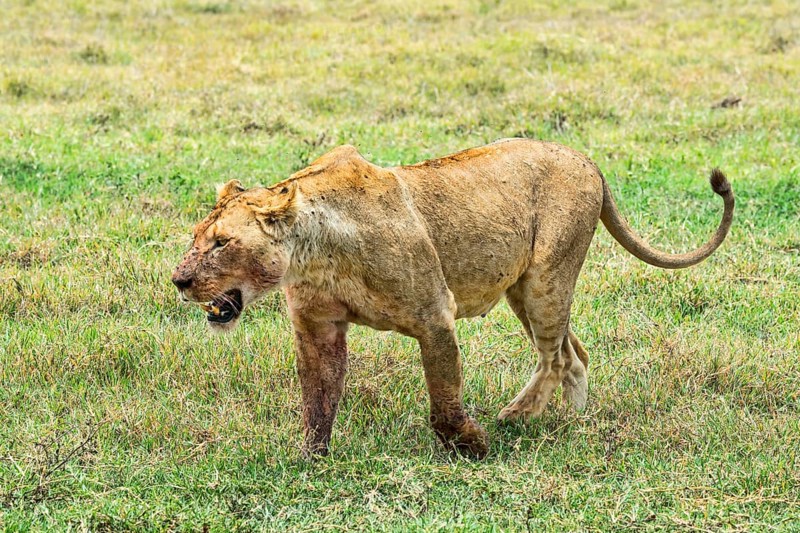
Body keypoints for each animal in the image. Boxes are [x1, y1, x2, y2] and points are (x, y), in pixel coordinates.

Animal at [172, 139, 734, 458]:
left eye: (222, 243)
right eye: (197, 238)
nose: (179, 281)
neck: (314, 252)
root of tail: (588, 160)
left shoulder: (434, 315)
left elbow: (443, 398)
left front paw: (472, 446)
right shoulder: (317, 329)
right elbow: (318, 398)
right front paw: (310, 461)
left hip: (546, 279)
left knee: (555, 357)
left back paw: (516, 418)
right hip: (522, 289)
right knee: (574, 354)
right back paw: (572, 423)